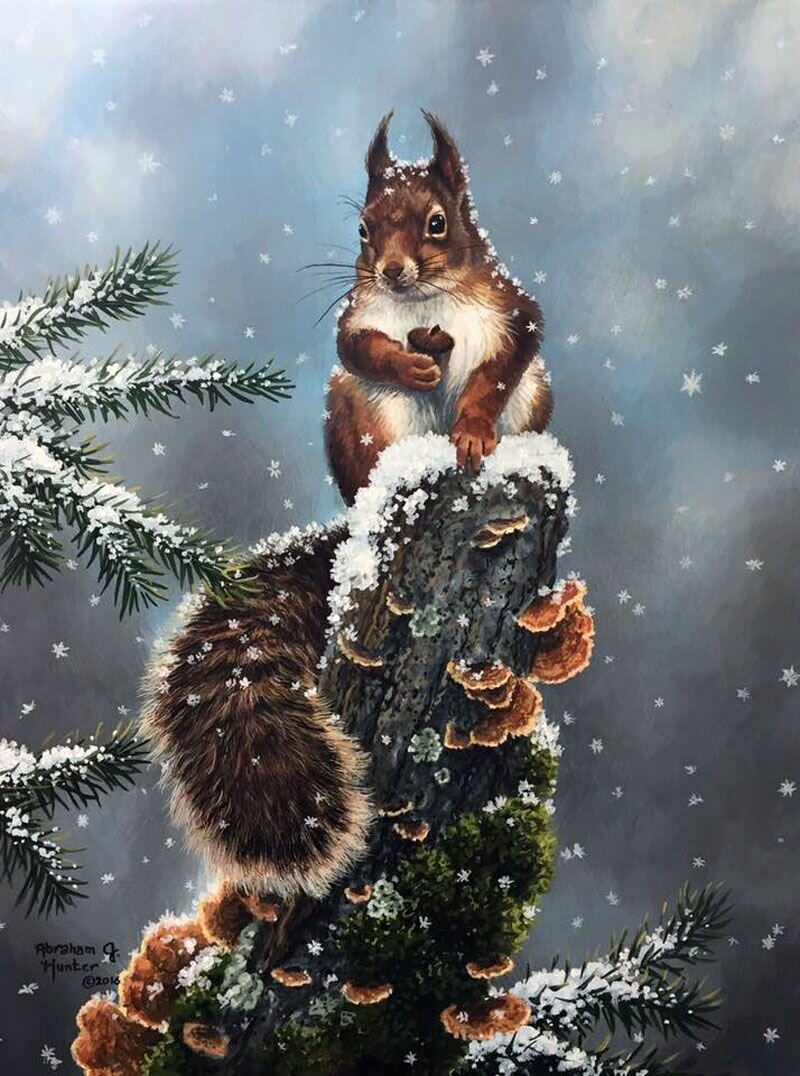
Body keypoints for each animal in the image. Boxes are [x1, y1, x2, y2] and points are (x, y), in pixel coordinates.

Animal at [141, 112, 552, 904]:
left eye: (437, 222)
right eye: (362, 229)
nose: (391, 271)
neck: (426, 305)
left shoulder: (515, 313)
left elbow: (500, 365)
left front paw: (473, 427)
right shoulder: (358, 322)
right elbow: (360, 348)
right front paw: (413, 361)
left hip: (536, 402)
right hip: (360, 420)